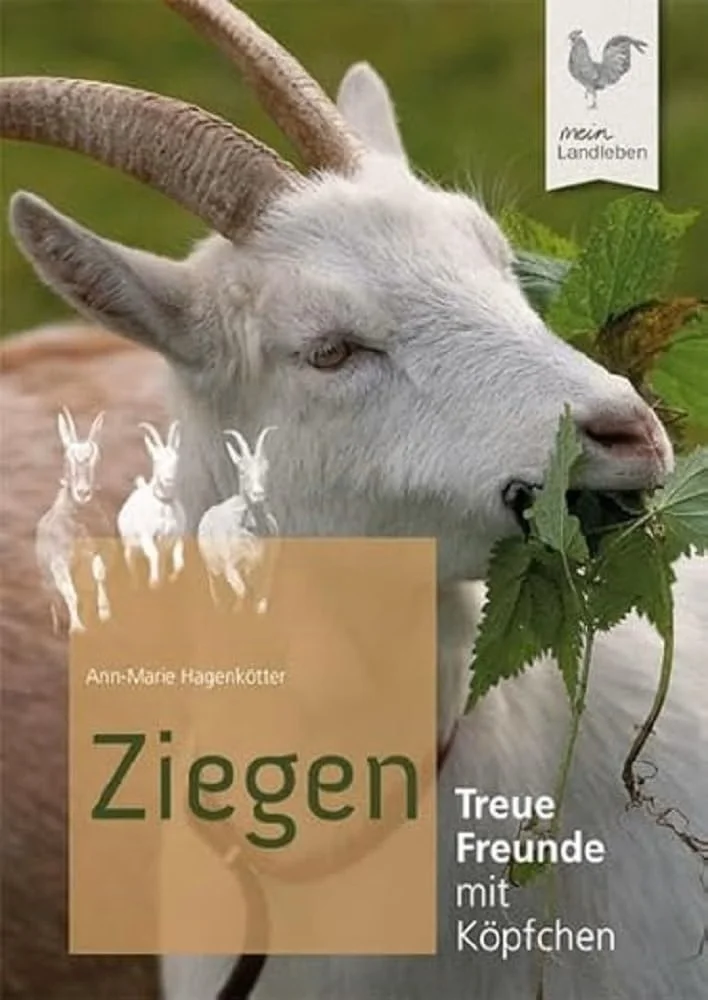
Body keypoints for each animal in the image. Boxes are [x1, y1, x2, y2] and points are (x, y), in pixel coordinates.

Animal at [35, 406, 110, 634]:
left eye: (96, 459)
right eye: (67, 458)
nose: (83, 493)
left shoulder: (97, 551)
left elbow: (100, 574)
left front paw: (105, 612)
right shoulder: (58, 562)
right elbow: (70, 593)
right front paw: (77, 628)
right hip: (47, 582)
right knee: (56, 601)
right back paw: (58, 626)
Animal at [117, 421, 186, 587]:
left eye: (176, 460)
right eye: (156, 460)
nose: (168, 480)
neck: (164, 506)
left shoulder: (177, 537)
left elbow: (180, 564)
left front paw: (171, 578)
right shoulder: (146, 536)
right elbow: (153, 554)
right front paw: (152, 582)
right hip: (129, 546)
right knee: (132, 566)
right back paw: (136, 585)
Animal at [197, 427, 278, 611]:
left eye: (266, 468)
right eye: (242, 471)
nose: (258, 494)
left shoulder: (267, 567)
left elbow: (261, 600)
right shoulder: (231, 567)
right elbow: (242, 592)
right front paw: (236, 610)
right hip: (212, 570)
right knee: (216, 592)